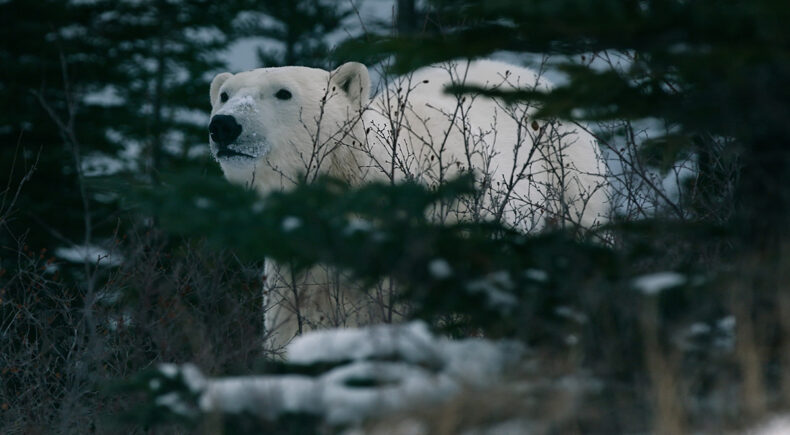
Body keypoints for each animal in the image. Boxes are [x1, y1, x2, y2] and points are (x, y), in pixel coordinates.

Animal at [208, 60, 609, 352]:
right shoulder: (299, 268)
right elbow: (295, 324)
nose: (223, 125)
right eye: (224, 94)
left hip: (570, 180)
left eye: (283, 92)